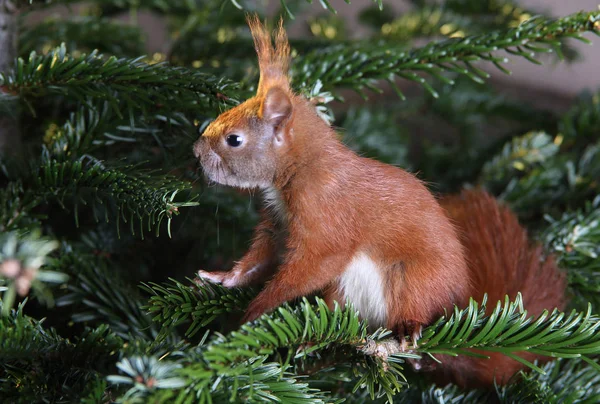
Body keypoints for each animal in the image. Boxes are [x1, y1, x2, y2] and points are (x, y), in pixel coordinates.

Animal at [193, 15, 568, 388]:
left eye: (234, 139)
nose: (195, 151)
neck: (303, 167)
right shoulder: (278, 223)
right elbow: (261, 256)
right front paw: (224, 277)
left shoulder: (326, 218)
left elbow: (310, 268)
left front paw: (255, 311)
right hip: (344, 292)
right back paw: (315, 341)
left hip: (412, 281)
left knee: (416, 315)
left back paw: (408, 333)